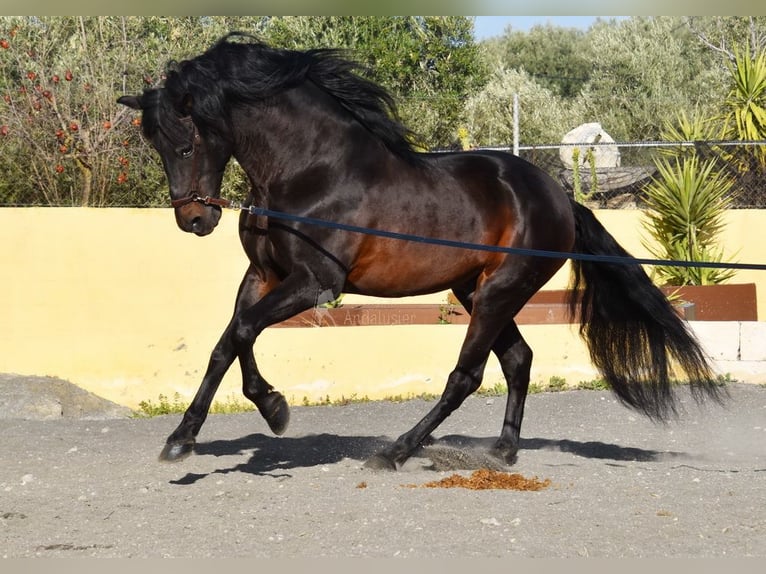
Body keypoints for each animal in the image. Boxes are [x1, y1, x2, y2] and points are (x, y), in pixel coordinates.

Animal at [117, 33, 724, 470]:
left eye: (186, 143)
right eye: (155, 143)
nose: (195, 220)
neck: (310, 171)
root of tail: (558, 195)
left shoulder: (316, 283)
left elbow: (243, 331)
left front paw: (272, 410)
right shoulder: (263, 275)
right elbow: (228, 343)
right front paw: (190, 435)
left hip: (500, 290)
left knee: (467, 375)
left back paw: (397, 451)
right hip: (475, 289)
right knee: (518, 360)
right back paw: (502, 452)